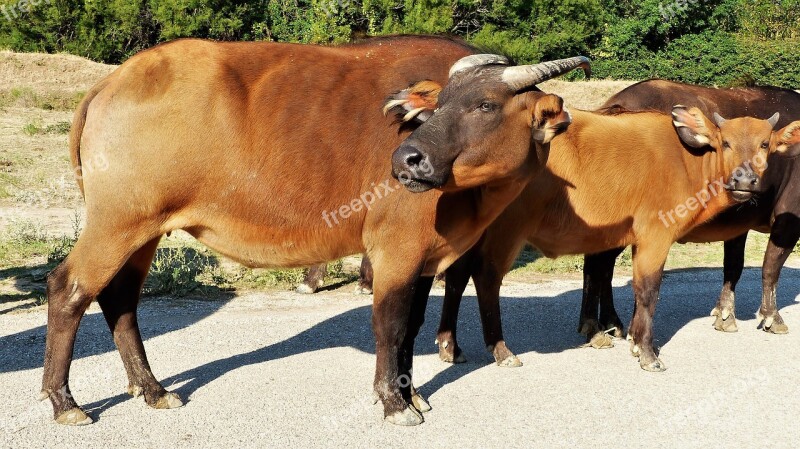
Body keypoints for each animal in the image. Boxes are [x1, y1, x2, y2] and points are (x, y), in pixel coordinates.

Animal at [396, 73, 800, 370]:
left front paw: (635, 339)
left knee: (458, 276)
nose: (746, 180)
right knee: (485, 277)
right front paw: (647, 352)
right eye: (725, 143)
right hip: (505, 231)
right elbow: (648, 290)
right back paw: (500, 349)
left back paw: (451, 345)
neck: (686, 158)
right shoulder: (656, 236)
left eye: (765, 144)